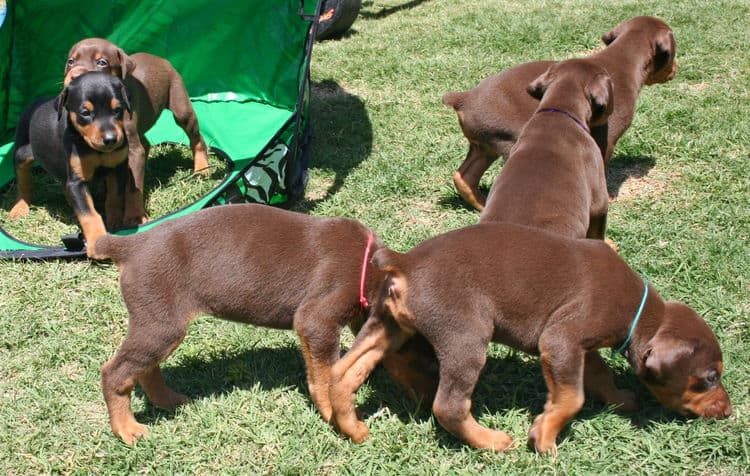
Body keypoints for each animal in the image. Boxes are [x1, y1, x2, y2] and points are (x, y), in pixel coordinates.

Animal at [8, 71, 131, 256]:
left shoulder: (117, 167)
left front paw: (115, 223)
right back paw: (20, 207)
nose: (111, 139)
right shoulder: (77, 181)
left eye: (117, 110)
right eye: (85, 113)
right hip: (22, 152)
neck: (95, 150)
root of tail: (36, 102)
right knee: (23, 180)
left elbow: (115, 197)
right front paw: (97, 241)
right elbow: (88, 214)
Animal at [63, 36, 210, 226]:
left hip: (180, 105)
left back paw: (202, 168)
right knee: (146, 144)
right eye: (70, 62)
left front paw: (134, 216)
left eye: (101, 62)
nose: (74, 77)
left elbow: (133, 187)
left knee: (196, 138)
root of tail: (159, 58)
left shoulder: (133, 149)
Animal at [328, 223, 736, 454]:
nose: (728, 412)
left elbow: (599, 376)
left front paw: (620, 398)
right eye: (709, 378)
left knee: (343, 374)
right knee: (448, 407)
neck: (638, 310)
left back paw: (353, 429)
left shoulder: (580, 347)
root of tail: (406, 263)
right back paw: (491, 442)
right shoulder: (560, 340)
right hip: (466, 338)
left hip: (384, 326)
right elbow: (572, 398)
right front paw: (545, 437)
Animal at [444, 16, 680, 210]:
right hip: (511, 142)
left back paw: (482, 205)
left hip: (483, 147)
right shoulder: (606, 140)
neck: (623, 59)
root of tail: (464, 99)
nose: (677, 69)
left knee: (464, 177)